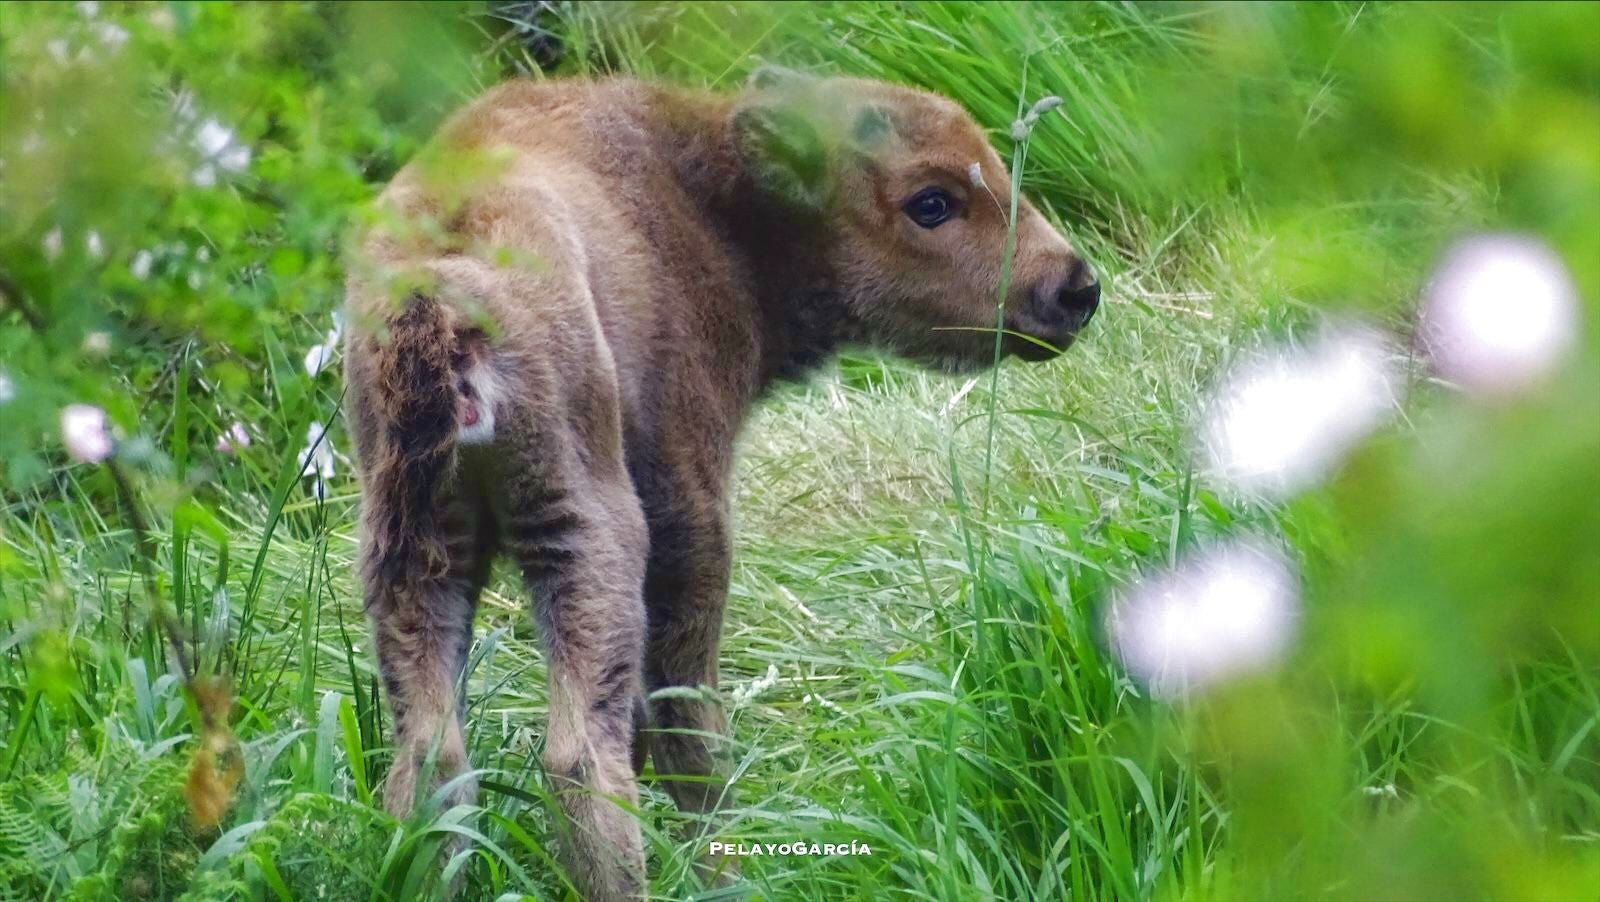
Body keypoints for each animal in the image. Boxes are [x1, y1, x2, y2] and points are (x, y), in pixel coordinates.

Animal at [345, 68, 1100, 895]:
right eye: (931, 201)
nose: (1074, 288)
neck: (711, 205)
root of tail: (437, 296)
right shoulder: (690, 504)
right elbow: (679, 713)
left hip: (414, 546)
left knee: (429, 759)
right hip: (585, 525)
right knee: (583, 754)